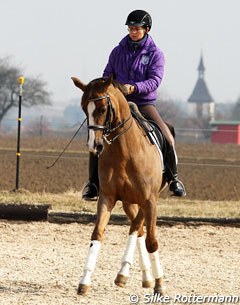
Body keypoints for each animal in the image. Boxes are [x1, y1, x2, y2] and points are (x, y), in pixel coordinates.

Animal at [72, 74, 166, 294]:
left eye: (102, 109)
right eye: (84, 108)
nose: (94, 145)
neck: (125, 152)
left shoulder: (150, 200)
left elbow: (151, 241)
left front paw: (160, 284)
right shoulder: (107, 198)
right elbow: (97, 234)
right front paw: (84, 281)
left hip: (148, 200)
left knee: (138, 228)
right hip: (129, 202)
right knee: (137, 229)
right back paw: (132, 275)